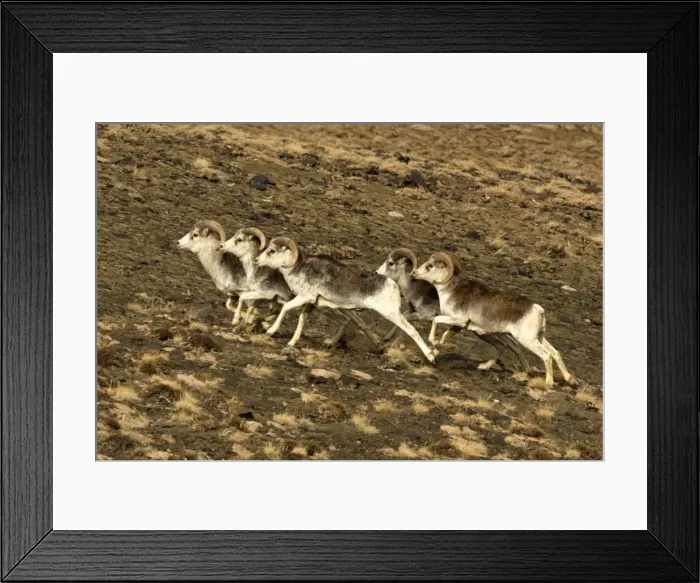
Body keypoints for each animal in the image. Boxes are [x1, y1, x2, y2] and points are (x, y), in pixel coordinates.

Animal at [221, 227, 378, 348]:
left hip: (327, 308)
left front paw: (240, 323)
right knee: (351, 321)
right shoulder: (263, 297)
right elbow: (252, 308)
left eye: (239, 239)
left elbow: (245, 300)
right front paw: (246, 325)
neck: (255, 270)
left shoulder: (265, 295)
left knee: (351, 321)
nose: (222, 246)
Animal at [256, 236, 437, 364]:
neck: (298, 270)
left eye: (272, 251)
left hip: (391, 314)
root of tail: (392, 285)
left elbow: (285, 308)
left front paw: (270, 331)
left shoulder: (303, 298)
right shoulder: (311, 304)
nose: (257, 260)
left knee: (411, 330)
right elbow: (302, 319)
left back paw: (431, 357)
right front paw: (293, 342)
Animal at [376, 248, 532, 372]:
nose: (377, 272)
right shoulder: (413, 311)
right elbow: (402, 316)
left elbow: (406, 320)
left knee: (512, 346)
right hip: (485, 333)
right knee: (508, 345)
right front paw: (387, 339)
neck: (413, 287)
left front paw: (394, 343)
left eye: (390, 263)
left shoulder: (424, 315)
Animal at [413, 252, 575, 387]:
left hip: (527, 340)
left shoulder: (458, 320)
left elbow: (436, 320)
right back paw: (570, 380)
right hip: (538, 338)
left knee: (547, 355)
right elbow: (445, 337)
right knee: (555, 353)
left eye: (430, 266)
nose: (414, 273)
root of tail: (538, 309)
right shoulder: (459, 326)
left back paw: (548, 383)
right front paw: (433, 353)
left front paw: (432, 343)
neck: (450, 290)